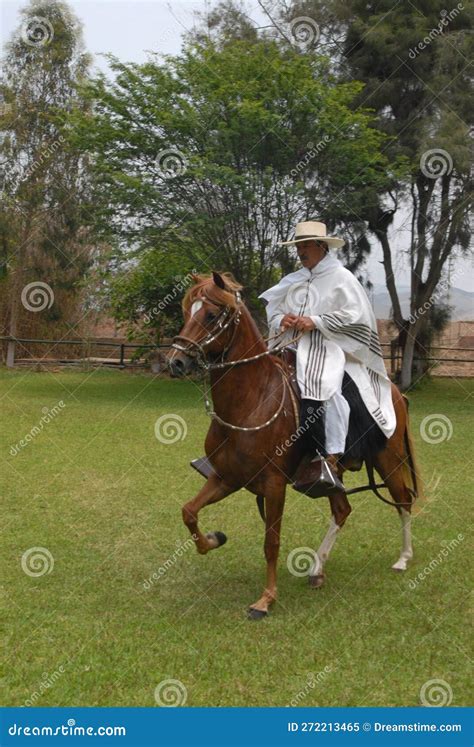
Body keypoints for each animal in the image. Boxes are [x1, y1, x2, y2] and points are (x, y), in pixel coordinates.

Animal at [166, 271, 422, 619]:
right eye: (186, 311)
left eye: (211, 314)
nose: (176, 361)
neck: (252, 400)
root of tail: (396, 392)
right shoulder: (226, 478)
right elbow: (189, 512)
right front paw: (213, 539)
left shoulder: (274, 485)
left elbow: (271, 543)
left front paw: (265, 600)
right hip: (332, 478)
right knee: (343, 510)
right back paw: (316, 570)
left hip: (390, 460)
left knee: (403, 501)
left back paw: (403, 559)